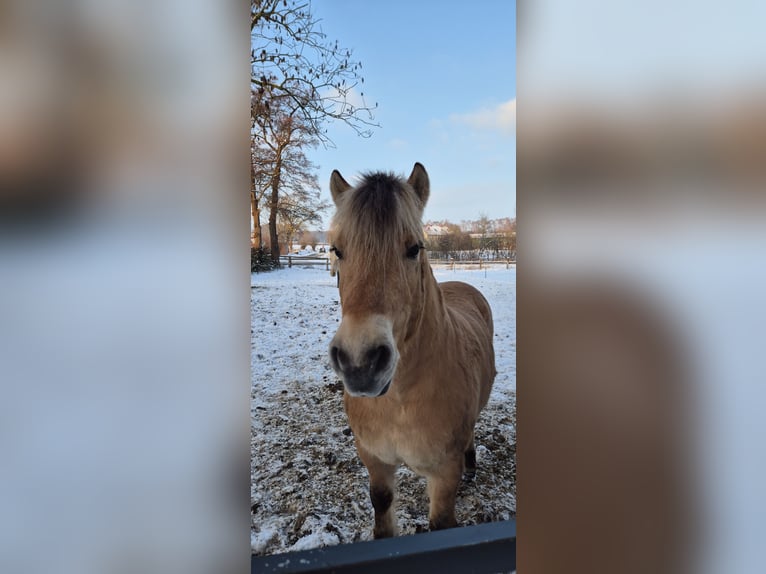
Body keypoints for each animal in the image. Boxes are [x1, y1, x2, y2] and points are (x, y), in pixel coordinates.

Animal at [327, 163, 496, 537]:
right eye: (337, 250)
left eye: (414, 248)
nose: (360, 363)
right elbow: (383, 514)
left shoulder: (444, 474)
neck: (399, 402)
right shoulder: (375, 462)